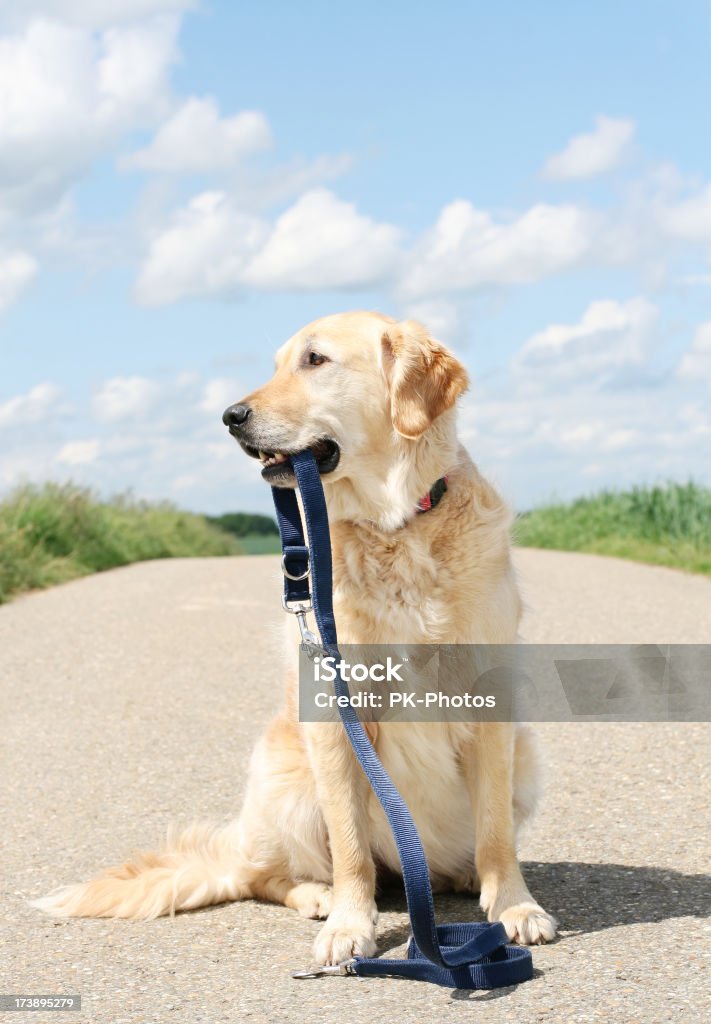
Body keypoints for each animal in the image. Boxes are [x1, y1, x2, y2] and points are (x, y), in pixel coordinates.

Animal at [34, 309, 557, 958]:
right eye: (278, 364)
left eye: (315, 360)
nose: (230, 416)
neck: (394, 528)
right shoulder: (334, 717)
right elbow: (350, 846)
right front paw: (350, 926)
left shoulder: (492, 711)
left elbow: (496, 832)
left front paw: (513, 904)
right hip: (283, 781)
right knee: (268, 876)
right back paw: (319, 895)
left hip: (526, 758)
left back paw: (462, 877)